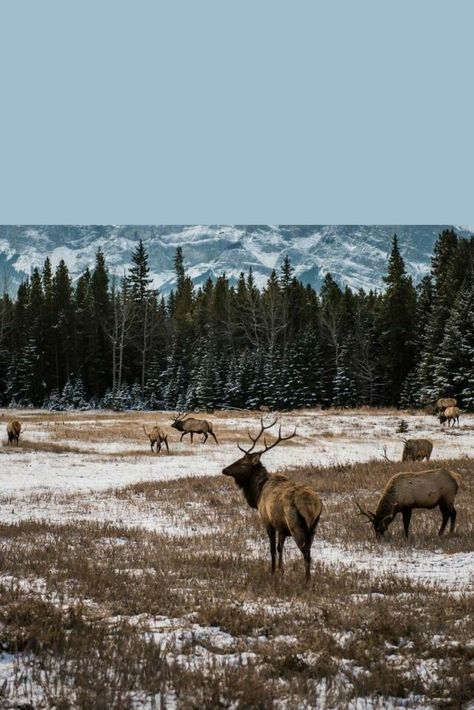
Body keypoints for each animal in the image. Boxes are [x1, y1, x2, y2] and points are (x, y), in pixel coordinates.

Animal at [222, 418, 322, 584]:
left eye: (243, 463)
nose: (224, 470)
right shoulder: (281, 527)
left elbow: (272, 548)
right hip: (314, 526)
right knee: (309, 550)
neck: (257, 495)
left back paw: (306, 581)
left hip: (296, 524)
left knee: (306, 553)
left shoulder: (268, 520)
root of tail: (311, 504)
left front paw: (272, 572)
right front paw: (282, 571)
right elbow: (280, 548)